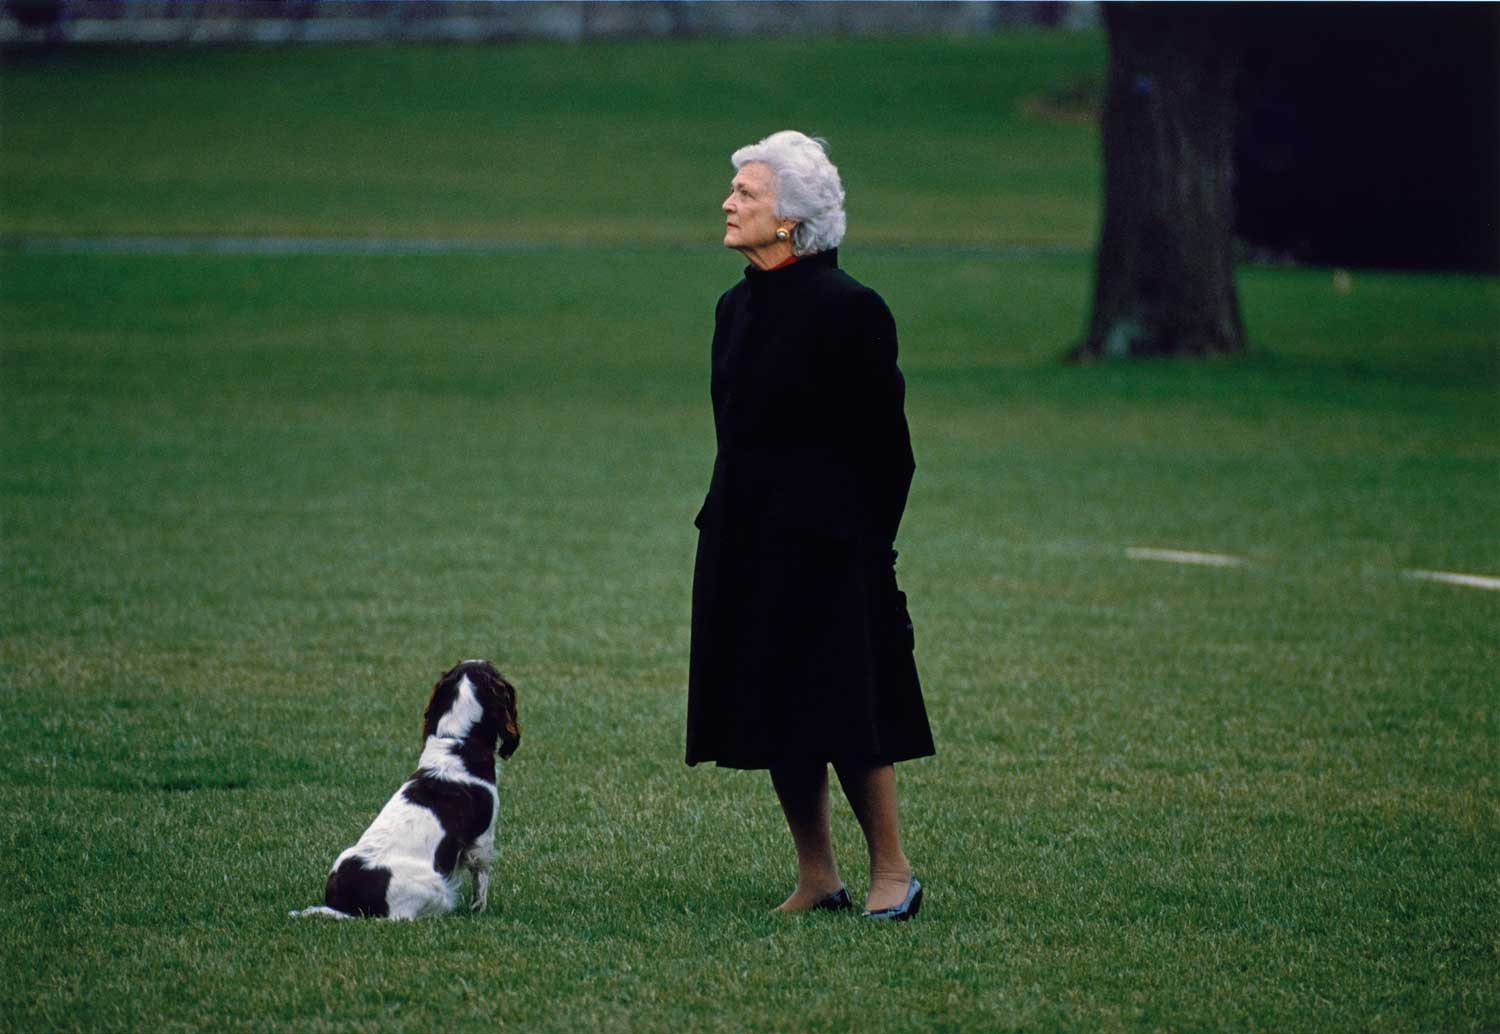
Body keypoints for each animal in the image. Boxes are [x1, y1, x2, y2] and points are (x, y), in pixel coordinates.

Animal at [292, 660, 522, 918]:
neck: (458, 741)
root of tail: (346, 907)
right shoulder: (483, 837)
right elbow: (481, 878)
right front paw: (479, 909)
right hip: (438, 888)